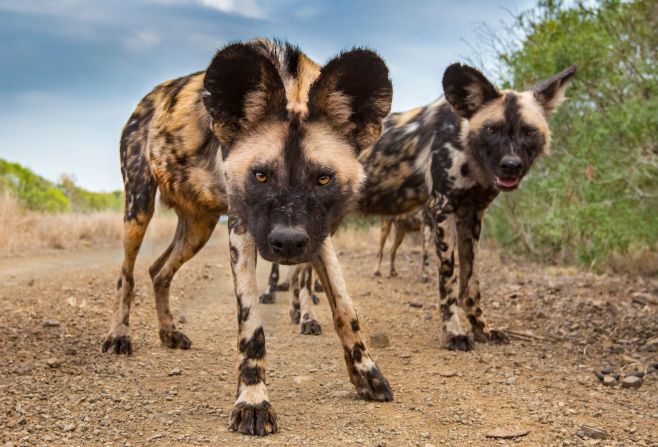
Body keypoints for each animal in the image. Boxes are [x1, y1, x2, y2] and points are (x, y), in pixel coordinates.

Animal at [100, 39, 392, 438]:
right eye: (261, 175)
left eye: (323, 179)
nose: (288, 243)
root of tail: (148, 98)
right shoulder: (241, 227)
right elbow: (252, 325)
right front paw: (253, 402)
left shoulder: (318, 235)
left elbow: (346, 310)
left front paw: (367, 375)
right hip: (138, 208)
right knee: (126, 275)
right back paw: (119, 335)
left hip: (199, 228)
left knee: (159, 271)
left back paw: (169, 332)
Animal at [264, 63, 572, 352]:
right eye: (491, 129)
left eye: (529, 132)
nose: (511, 165)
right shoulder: (442, 210)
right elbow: (449, 282)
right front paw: (455, 333)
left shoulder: (471, 217)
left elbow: (471, 286)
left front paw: (483, 329)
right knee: (302, 277)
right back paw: (306, 318)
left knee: (298, 274)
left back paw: (296, 313)